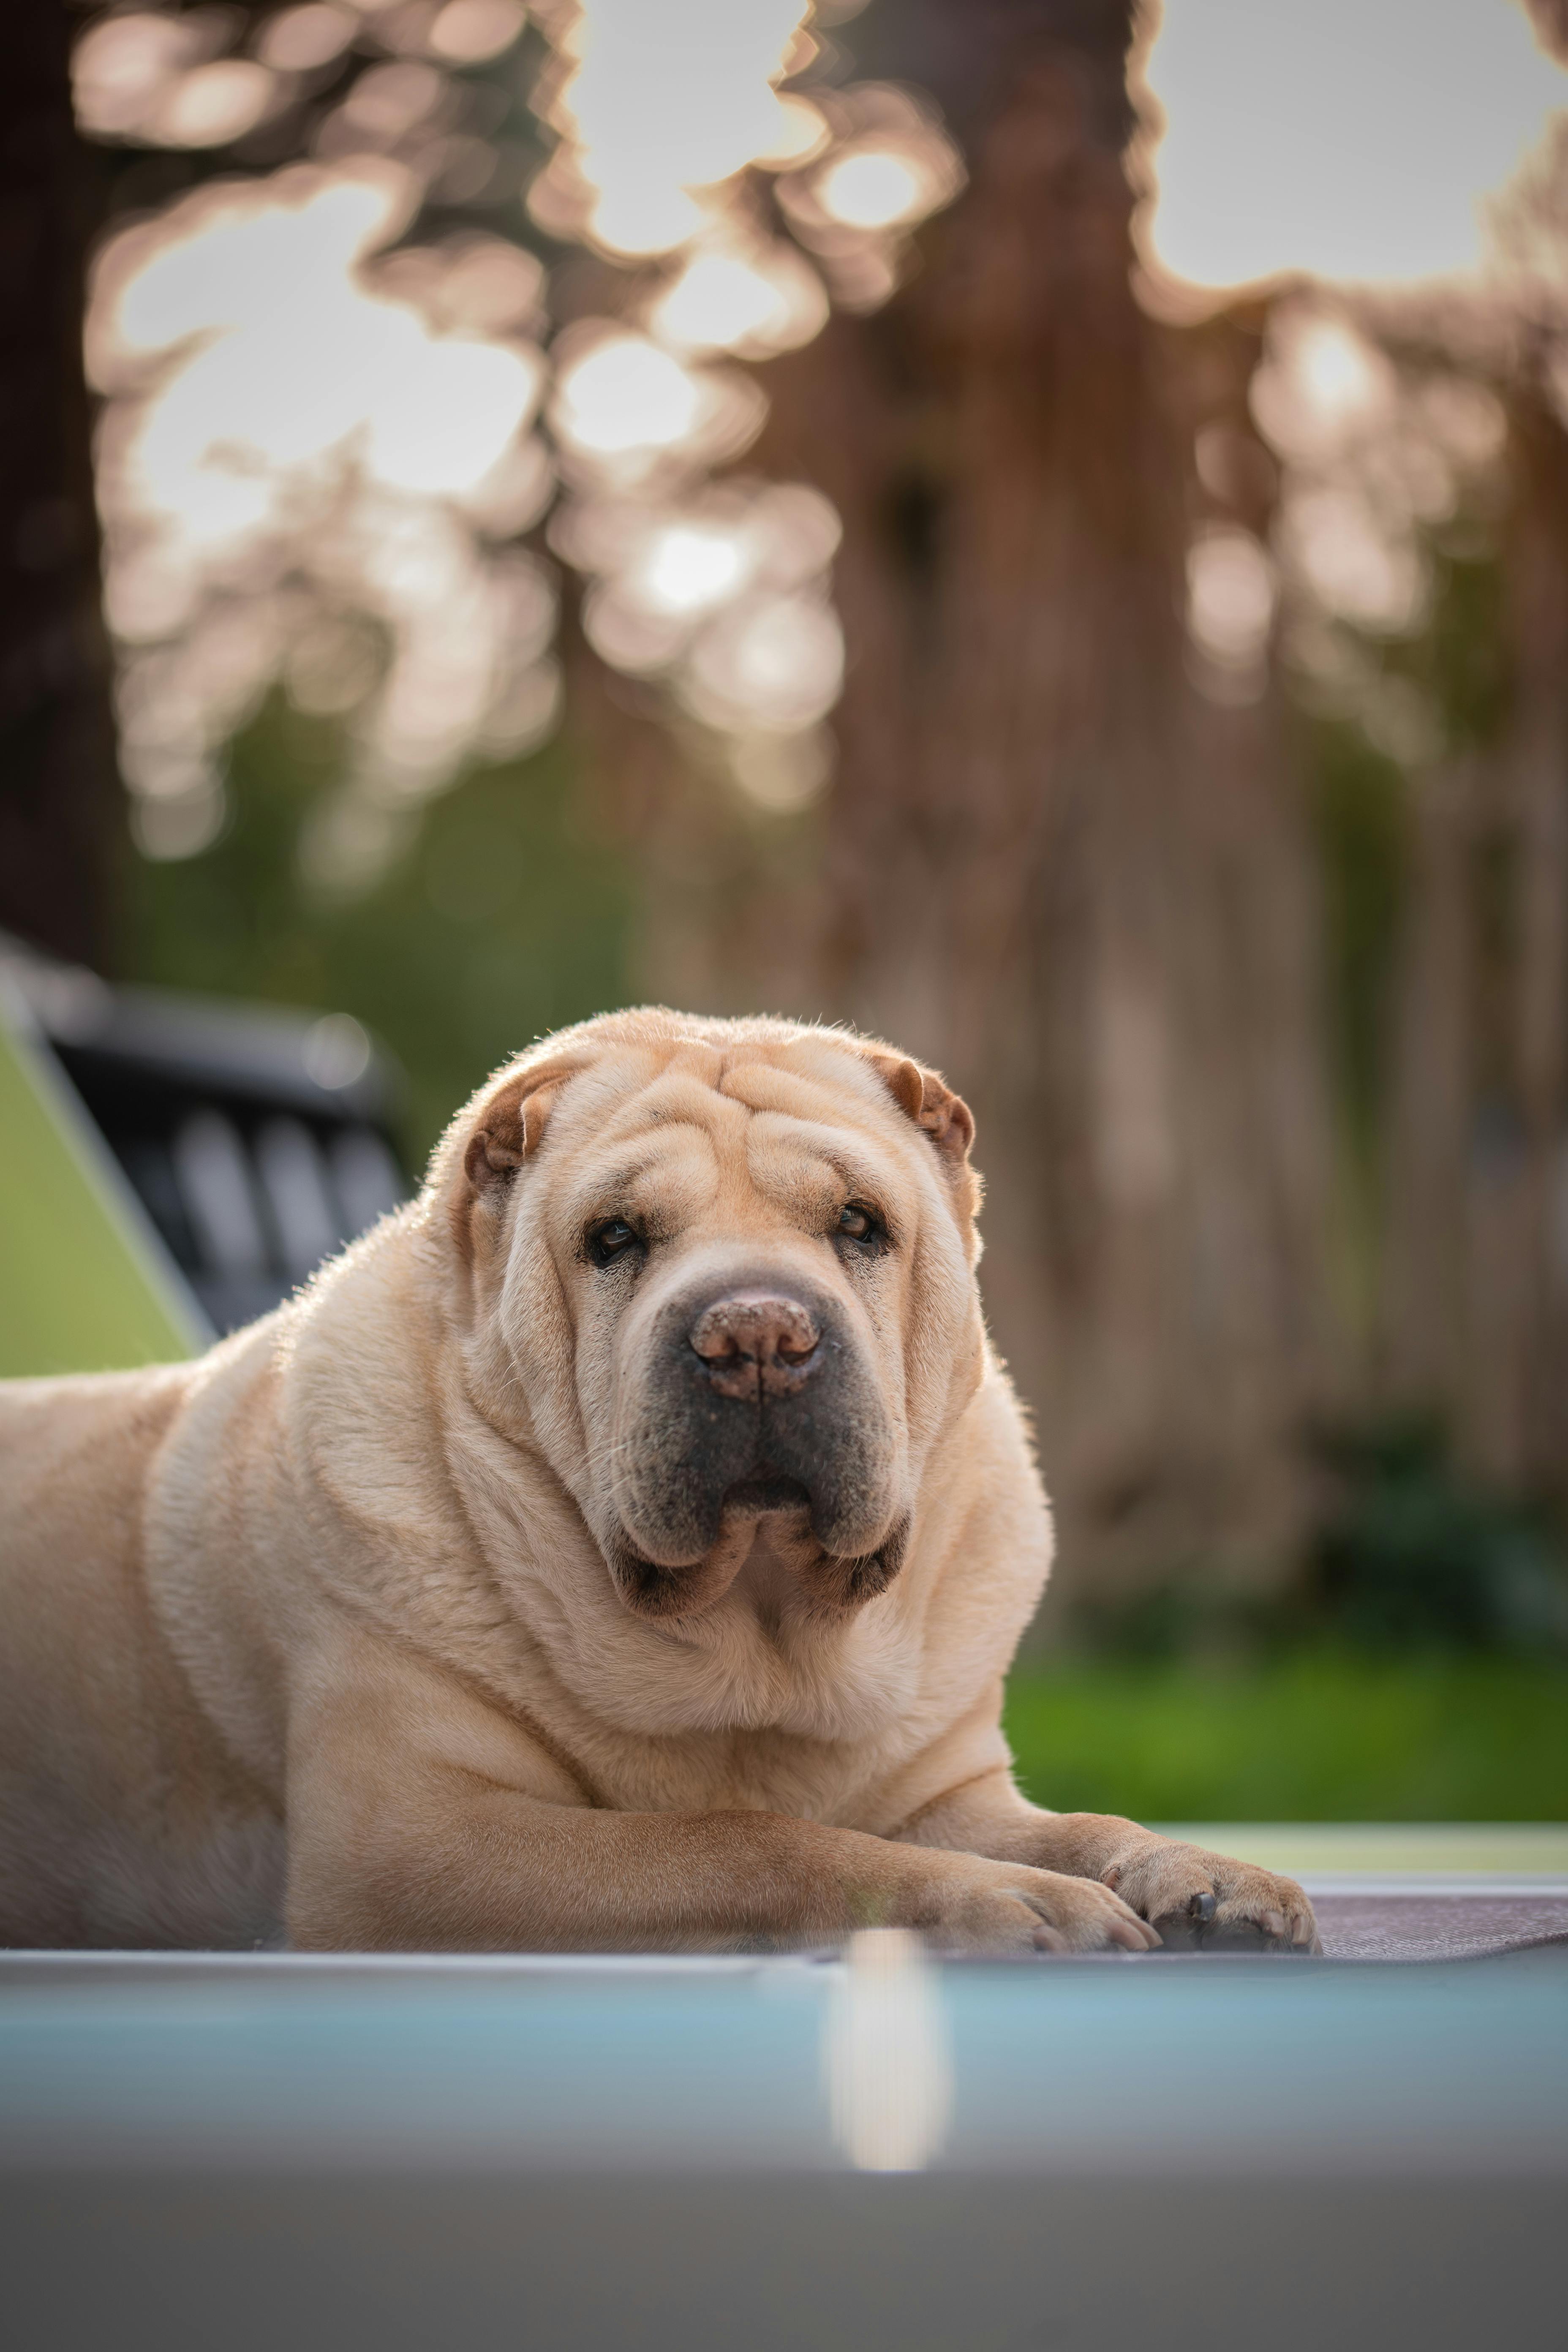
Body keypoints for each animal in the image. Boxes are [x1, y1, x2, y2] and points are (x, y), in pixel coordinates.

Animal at [0, 1007, 1316, 1947]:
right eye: (615, 1239)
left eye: (860, 1224)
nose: (759, 1336)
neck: (756, 1646)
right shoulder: (416, 1839)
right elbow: (737, 1839)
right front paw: (999, 1902)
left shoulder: (946, 1789)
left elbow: (1081, 1825)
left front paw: (1205, 1875)